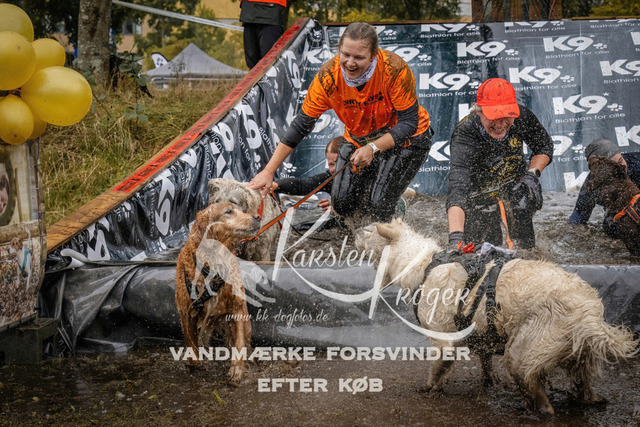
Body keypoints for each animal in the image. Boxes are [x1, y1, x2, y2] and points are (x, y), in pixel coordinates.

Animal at [175, 202, 260, 384]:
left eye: (241, 210)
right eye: (228, 211)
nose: (257, 216)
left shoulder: (237, 308)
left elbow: (239, 343)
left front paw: (236, 369)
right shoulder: (186, 314)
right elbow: (192, 346)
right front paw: (195, 365)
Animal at [354, 219, 638, 414]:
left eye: (368, 231)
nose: (355, 228)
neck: (424, 265)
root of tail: (589, 314)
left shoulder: (443, 339)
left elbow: (437, 368)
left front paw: (430, 387)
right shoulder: (480, 333)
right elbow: (485, 361)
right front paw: (487, 381)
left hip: (525, 349)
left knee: (535, 388)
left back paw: (535, 409)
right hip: (577, 354)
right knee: (584, 386)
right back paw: (589, 399)